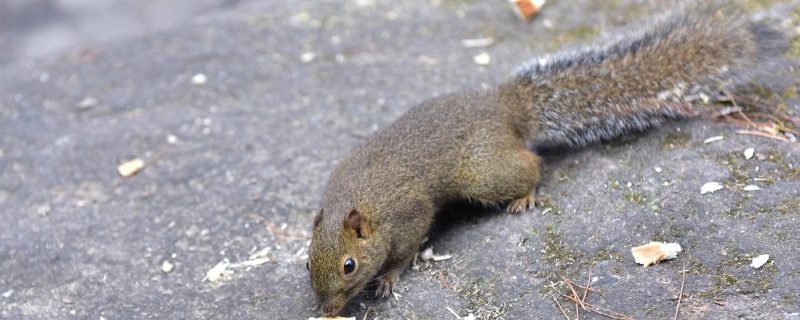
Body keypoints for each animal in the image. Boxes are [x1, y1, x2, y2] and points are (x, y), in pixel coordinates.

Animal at [306, 3, 788, 316]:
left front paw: (389, 277)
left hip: (484, 172)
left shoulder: (408, 215)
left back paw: (526, 195)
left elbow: (405, 249)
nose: (327, 310)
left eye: (349, 266)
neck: (361, 200)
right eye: (308, 262)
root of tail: (504, 106)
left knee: (530, 166)